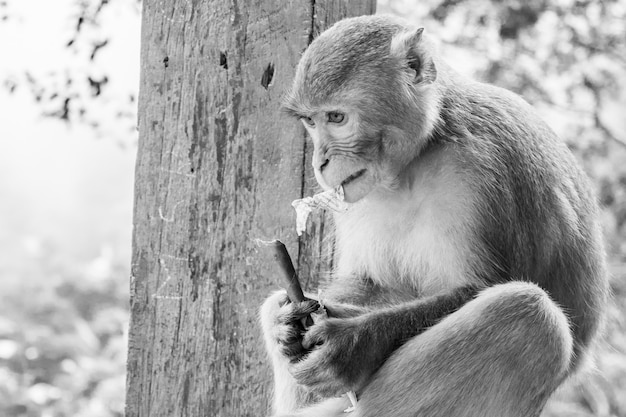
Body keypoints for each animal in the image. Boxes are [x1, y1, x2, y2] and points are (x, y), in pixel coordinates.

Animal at [258, 13, 604, 416]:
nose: (320, 162)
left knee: (529, 313)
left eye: (337, 117)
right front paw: (291, 323)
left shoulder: (478, 171)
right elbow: (366, 282)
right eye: (311, 122)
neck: (416, 159)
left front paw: (354, 344)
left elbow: (476, 287)